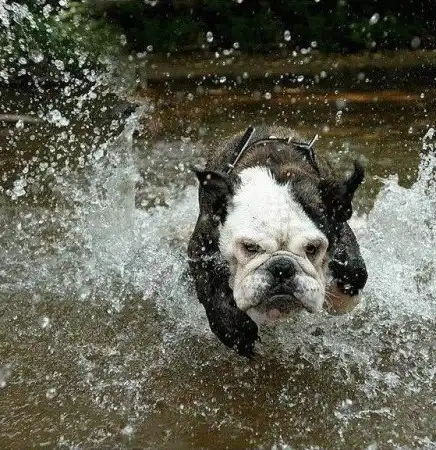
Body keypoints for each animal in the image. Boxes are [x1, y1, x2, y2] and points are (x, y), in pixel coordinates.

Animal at [188, 126, 367, 356]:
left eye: (312, 248)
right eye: (250, 247)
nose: (282, 267)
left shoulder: (340, 225)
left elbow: (354, 269)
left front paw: (340, 298)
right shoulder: (202, 247)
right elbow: (211, 288)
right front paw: (235, 329)